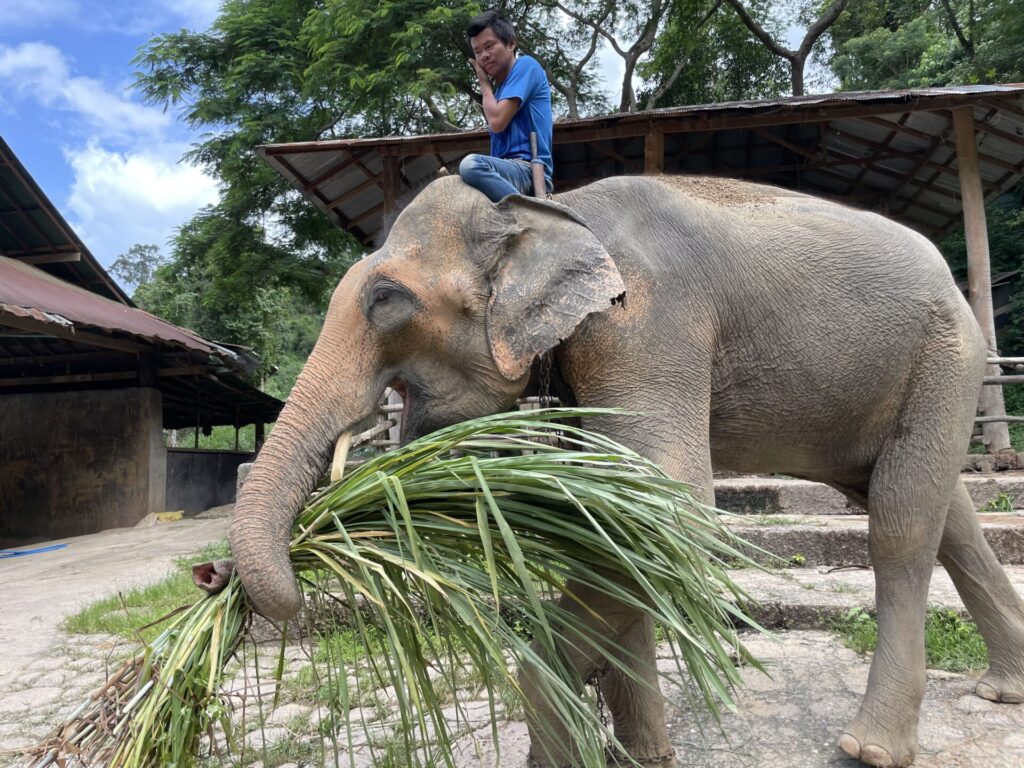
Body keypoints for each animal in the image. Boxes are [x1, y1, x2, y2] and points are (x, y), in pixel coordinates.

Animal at [218, 176, 1024, 768]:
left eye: (387, 301)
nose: (225, 578)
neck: (547, 210)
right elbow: (619, 513)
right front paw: (645, 754)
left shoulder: (647, 320)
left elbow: (675, 504)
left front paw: (568, 732)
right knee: (944, 512)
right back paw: (1001, 690)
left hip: (946, 353)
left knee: (900, 520)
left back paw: (871, 748)